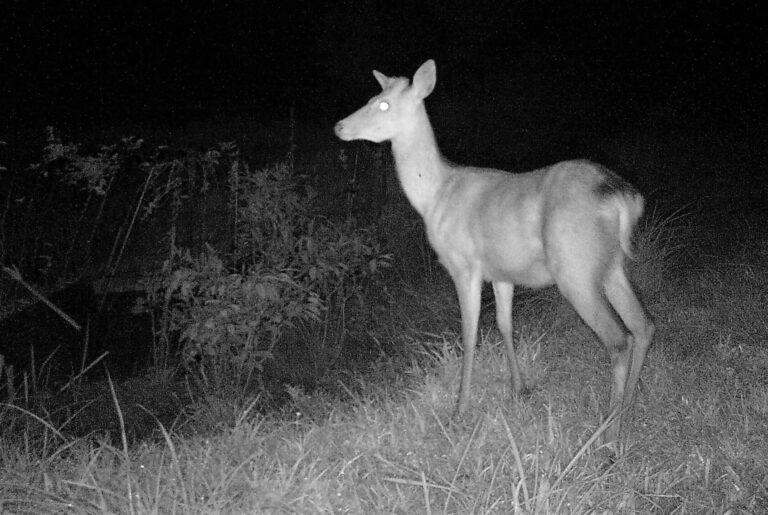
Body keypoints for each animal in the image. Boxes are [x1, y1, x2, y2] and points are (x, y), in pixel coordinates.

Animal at [334, 59, 656, 448]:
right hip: (611, 266)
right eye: (372, 97)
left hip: (575, 267)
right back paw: (629, 409)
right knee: (644, 325)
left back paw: (608, 437)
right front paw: (519, 389)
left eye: (382, 104)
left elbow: (469, 335)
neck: (434, 196)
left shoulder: (464, 265)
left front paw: (459, 411)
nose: (340, 126)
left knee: (619, 339)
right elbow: (505, 324)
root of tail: (623, 198)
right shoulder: (503, 272)